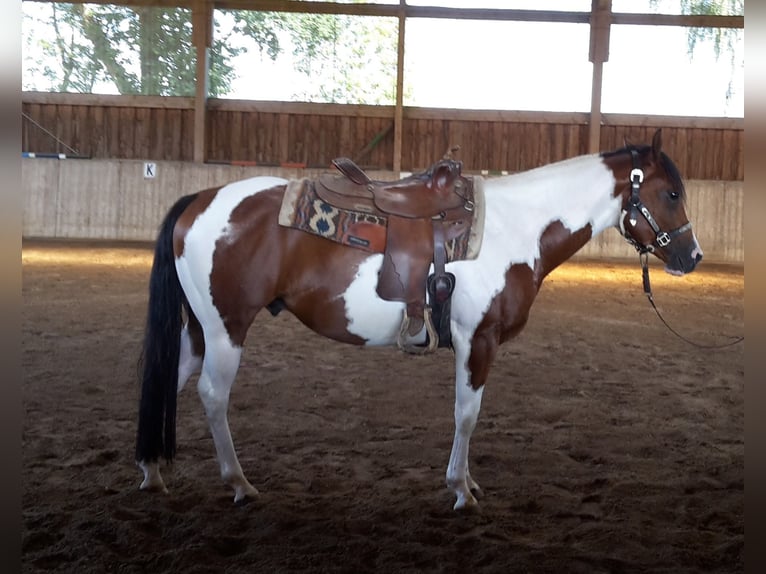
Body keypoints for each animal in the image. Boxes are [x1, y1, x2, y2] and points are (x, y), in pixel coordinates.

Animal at [136, 128, 704, 510]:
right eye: (671, 192)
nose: (692, 256)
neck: (516, 226)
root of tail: (200, 200)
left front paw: (465, 483)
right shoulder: (478, 340)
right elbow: (467, 414)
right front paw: (461, 490)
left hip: (200, 331)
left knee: (170, 378)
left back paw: (152, 472)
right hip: (225, 329)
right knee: (213, 395)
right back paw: (238, 482)